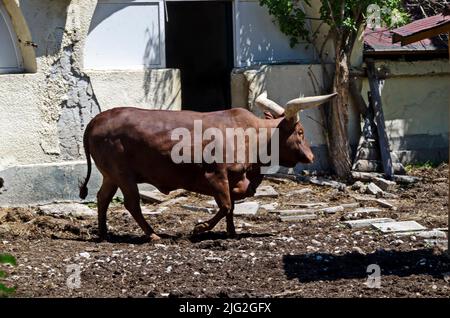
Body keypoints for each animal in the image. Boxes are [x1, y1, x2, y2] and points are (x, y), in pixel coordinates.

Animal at [79, 92, 336, 241]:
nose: (311, 156)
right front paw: (200, 227)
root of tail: (95, 121)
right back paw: (152, 235)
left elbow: (232, 206)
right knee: (132, 203)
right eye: (300, 132)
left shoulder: (233, 179)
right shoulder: (216, 175)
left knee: (103, 198)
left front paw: (231, 232)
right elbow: (226, 205)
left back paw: (104, 233)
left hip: (111, 175)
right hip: (123, 175)